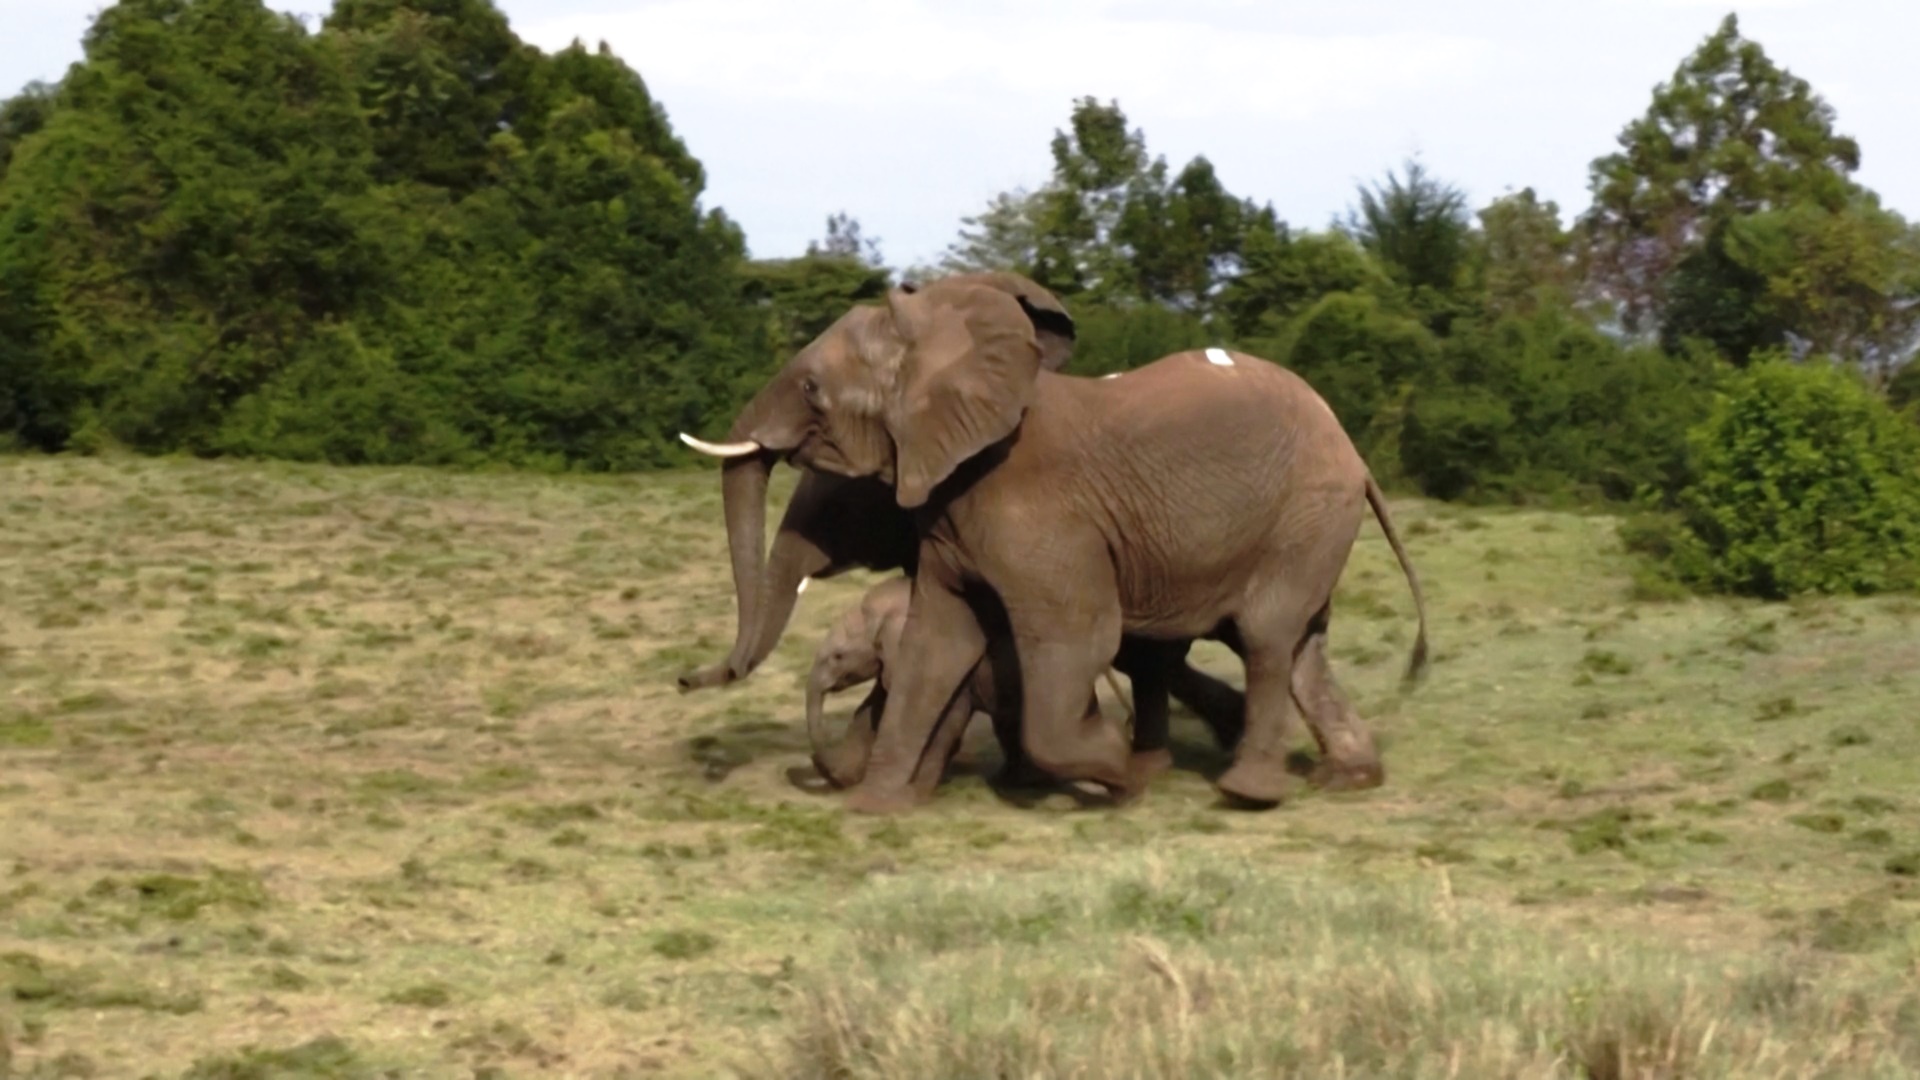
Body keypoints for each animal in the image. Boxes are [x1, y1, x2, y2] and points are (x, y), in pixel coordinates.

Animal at [683, 270, 1420, 807]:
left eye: (811, 388)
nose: (689, 678)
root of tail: (1356, 457)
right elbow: (934, 645)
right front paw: (877, 809)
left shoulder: (1041, 520)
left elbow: (1076, 640)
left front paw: (1117, 775)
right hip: (1308, 527)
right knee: (1300, 645)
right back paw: (1346, 779)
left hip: (1306, 514)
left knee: (1267, 638)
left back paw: (1246, 792)